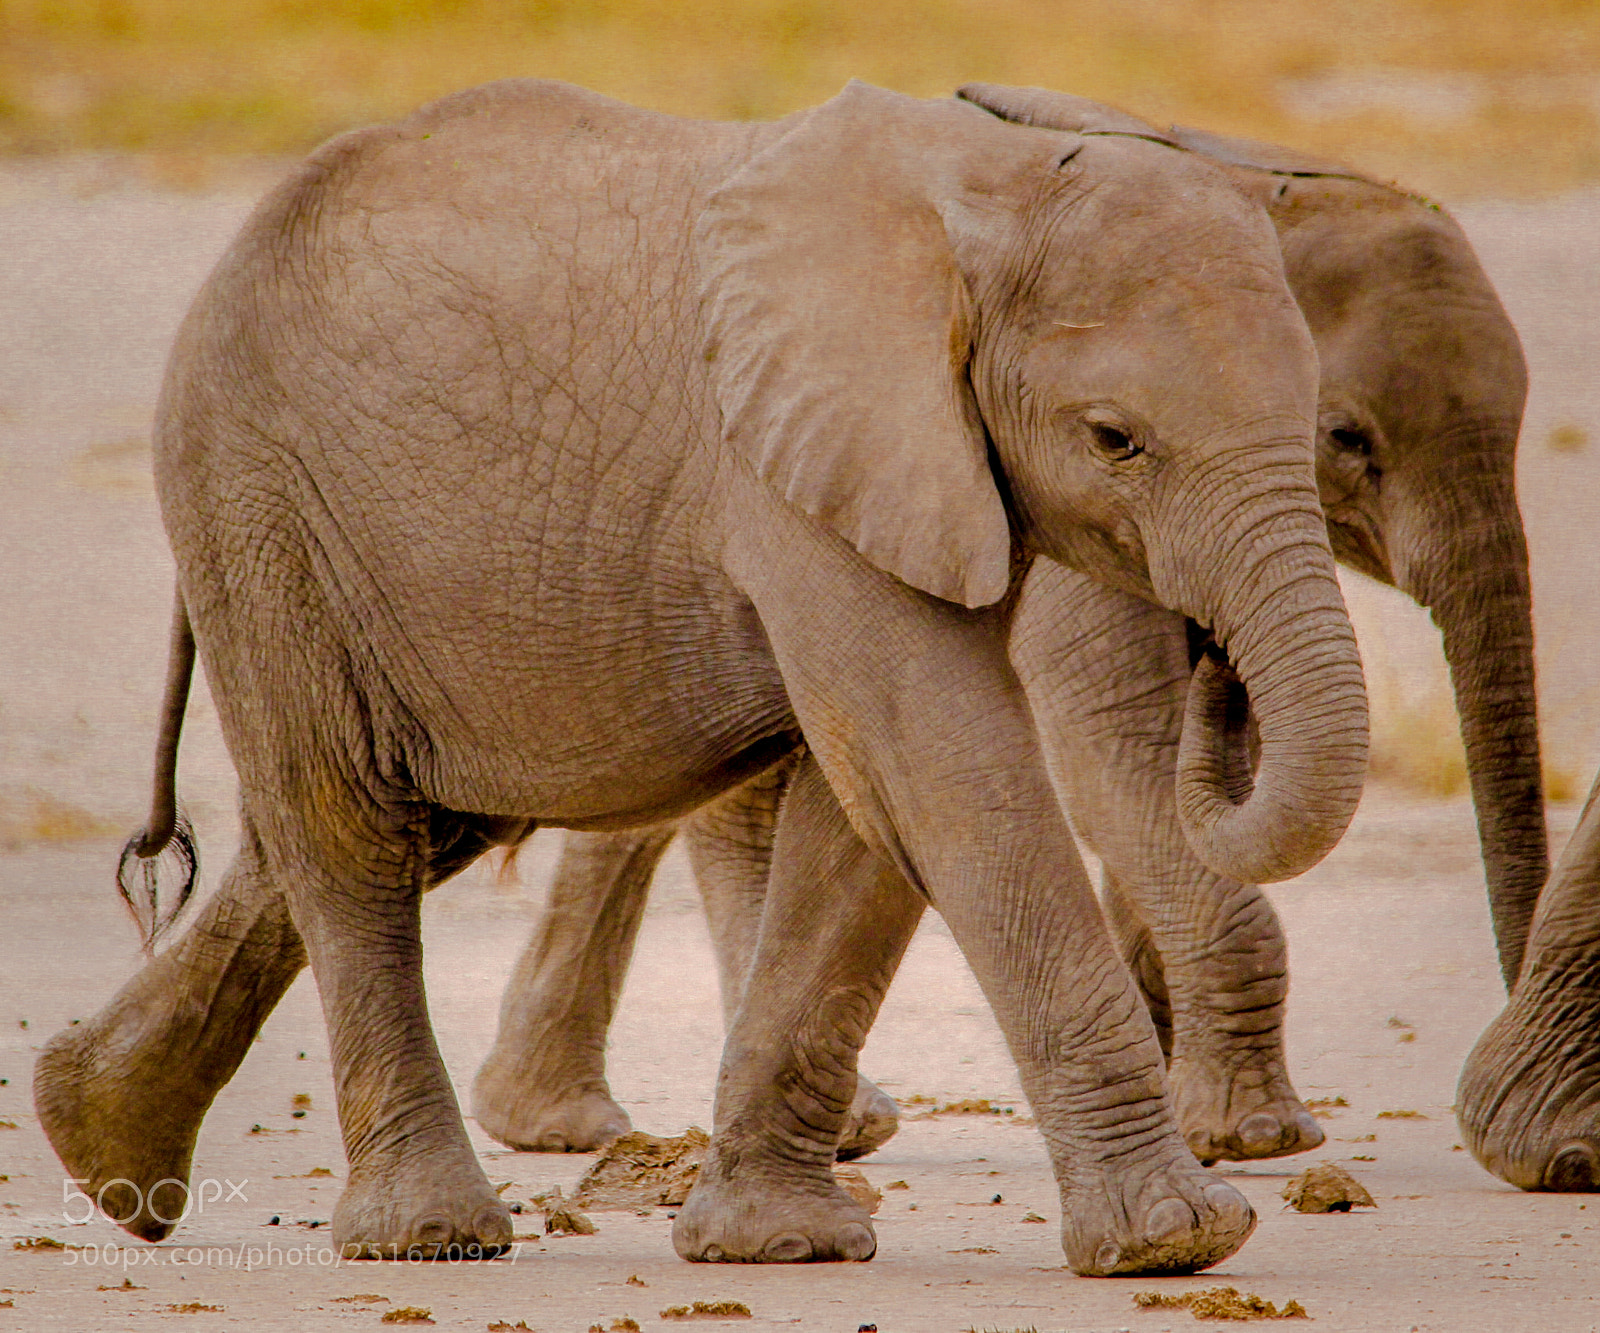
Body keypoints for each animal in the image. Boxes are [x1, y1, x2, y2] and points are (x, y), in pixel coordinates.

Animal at [32, 77, 1372, 1278]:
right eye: (1114, 440)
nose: (1213, 658)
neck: (988, 182)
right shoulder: (794, 461)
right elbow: (941, 768)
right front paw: (1175, 1242)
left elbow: (866, 818)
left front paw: (777, 1246)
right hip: (252, 500)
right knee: (348, 831)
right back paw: (427, 1237)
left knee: (402, 819)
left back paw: (96, 1143)